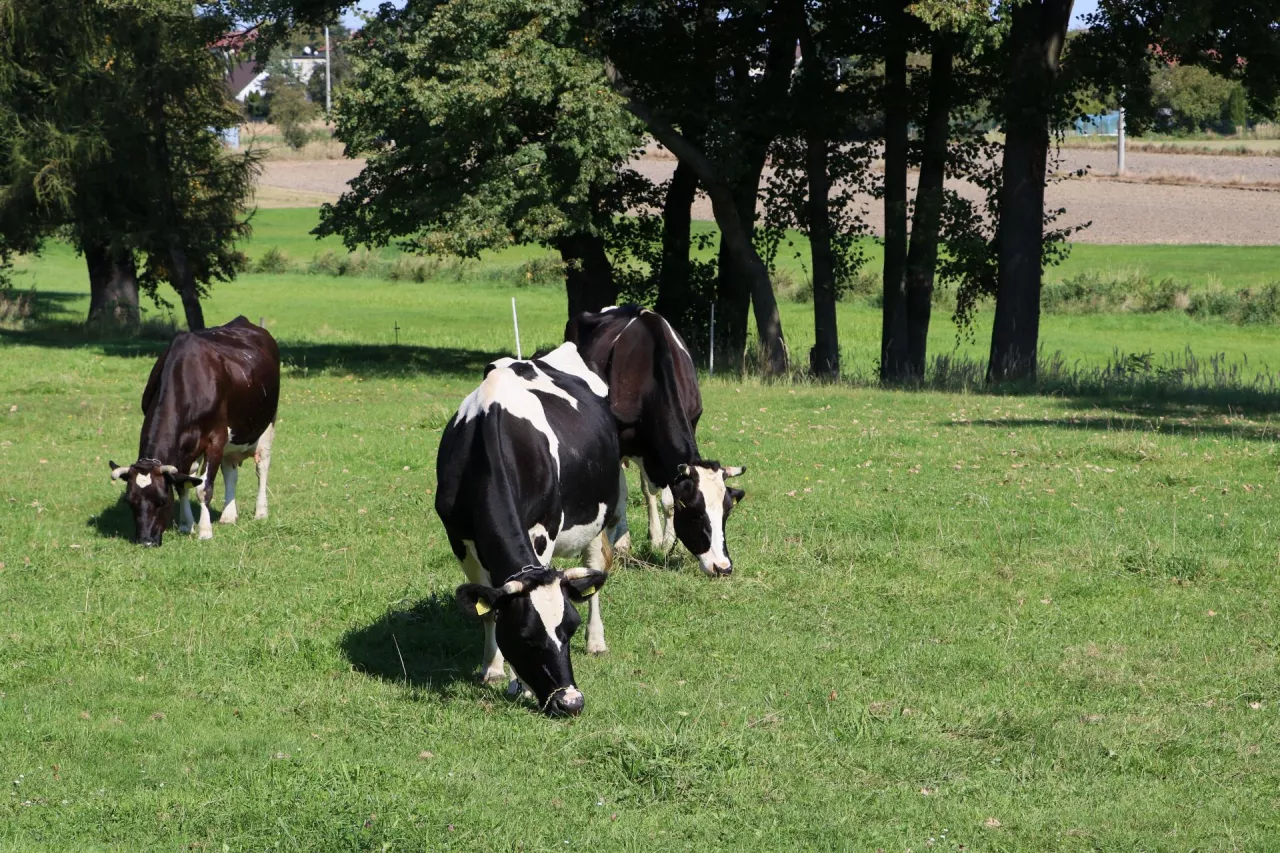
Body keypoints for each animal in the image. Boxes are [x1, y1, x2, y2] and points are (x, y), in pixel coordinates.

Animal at [109, 313, 280, 545]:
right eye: (130, 501)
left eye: (162, 500)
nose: (145, 541)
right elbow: (183, 483)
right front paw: (185, 525)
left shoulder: (216, 438)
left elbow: (203, 488)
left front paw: (204, 530)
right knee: (230, 472)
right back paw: (228, 515)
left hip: (267, 425)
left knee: (261, 467)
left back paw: (261, 512)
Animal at [435, 343, 624, 712]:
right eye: (525, 637)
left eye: (569, 629)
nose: (571, 701)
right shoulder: (459, 539)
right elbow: (489, 610)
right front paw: (494, 669)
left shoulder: (543, 532)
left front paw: (518, 685)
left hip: (601, 517)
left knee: (596, 571)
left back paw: (597, 641)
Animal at [565, 302, 747, 573]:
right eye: (695, 514)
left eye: (726, 513)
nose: (722, 566)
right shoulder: (619, 442)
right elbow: (620, 499)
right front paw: (618, 545)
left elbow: (668, 500)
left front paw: (671, 544)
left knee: (648, 490)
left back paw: (656, 537)